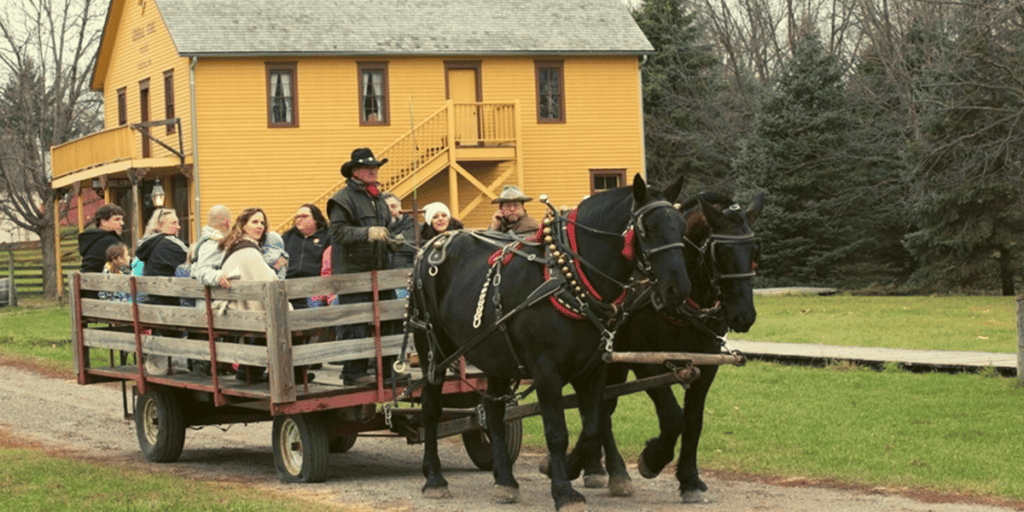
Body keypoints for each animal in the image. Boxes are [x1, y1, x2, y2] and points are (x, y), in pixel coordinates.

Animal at [407, 177, 688, 512]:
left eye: (681, 226)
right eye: (647, 228)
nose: (677, 289)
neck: (568, 277)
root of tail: (431, 245)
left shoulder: (593, 370)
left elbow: (594, 425)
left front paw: (571, 469)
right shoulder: (546, 372)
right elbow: (557, 433)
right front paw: (564, 491)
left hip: (496, 353)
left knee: (492, 410)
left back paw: (505, 480)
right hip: (432, 348)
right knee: (431, 408)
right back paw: (434, 478)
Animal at [565, 190, 765, 501]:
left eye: (755, 251)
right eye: (720, 252)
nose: (743, 315)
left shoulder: (706, 364)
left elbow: (693, 421)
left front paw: (690, 479)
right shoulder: (646, 362)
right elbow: (673, 418)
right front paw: (652, 459)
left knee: (601, 407)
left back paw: (595, 466)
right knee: (600, 410)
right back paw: (613, 472)